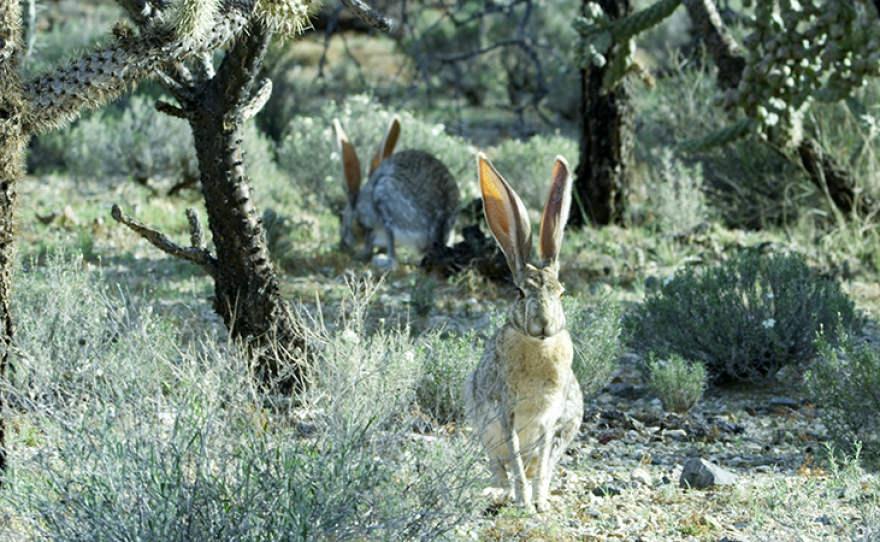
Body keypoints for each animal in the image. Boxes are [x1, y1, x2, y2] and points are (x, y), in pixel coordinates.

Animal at [332, 115, 461, 272]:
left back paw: (384, 262)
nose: (342, 246)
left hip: (385, 196)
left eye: (341, 218)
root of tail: (439, 232)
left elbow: (369, 241)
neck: (356, 211)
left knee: (393, 257)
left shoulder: (368, 221)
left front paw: (361, 255)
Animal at [464, 152, 583, 513]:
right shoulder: (507, 412)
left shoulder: (549, 418)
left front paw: (539, 503)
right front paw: (522, 501)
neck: (538, 345)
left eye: (562, 293)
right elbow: (515, 457)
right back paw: (499, 492)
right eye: (519, 293)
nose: (543, 323)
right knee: (499, 465)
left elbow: (540, 462)